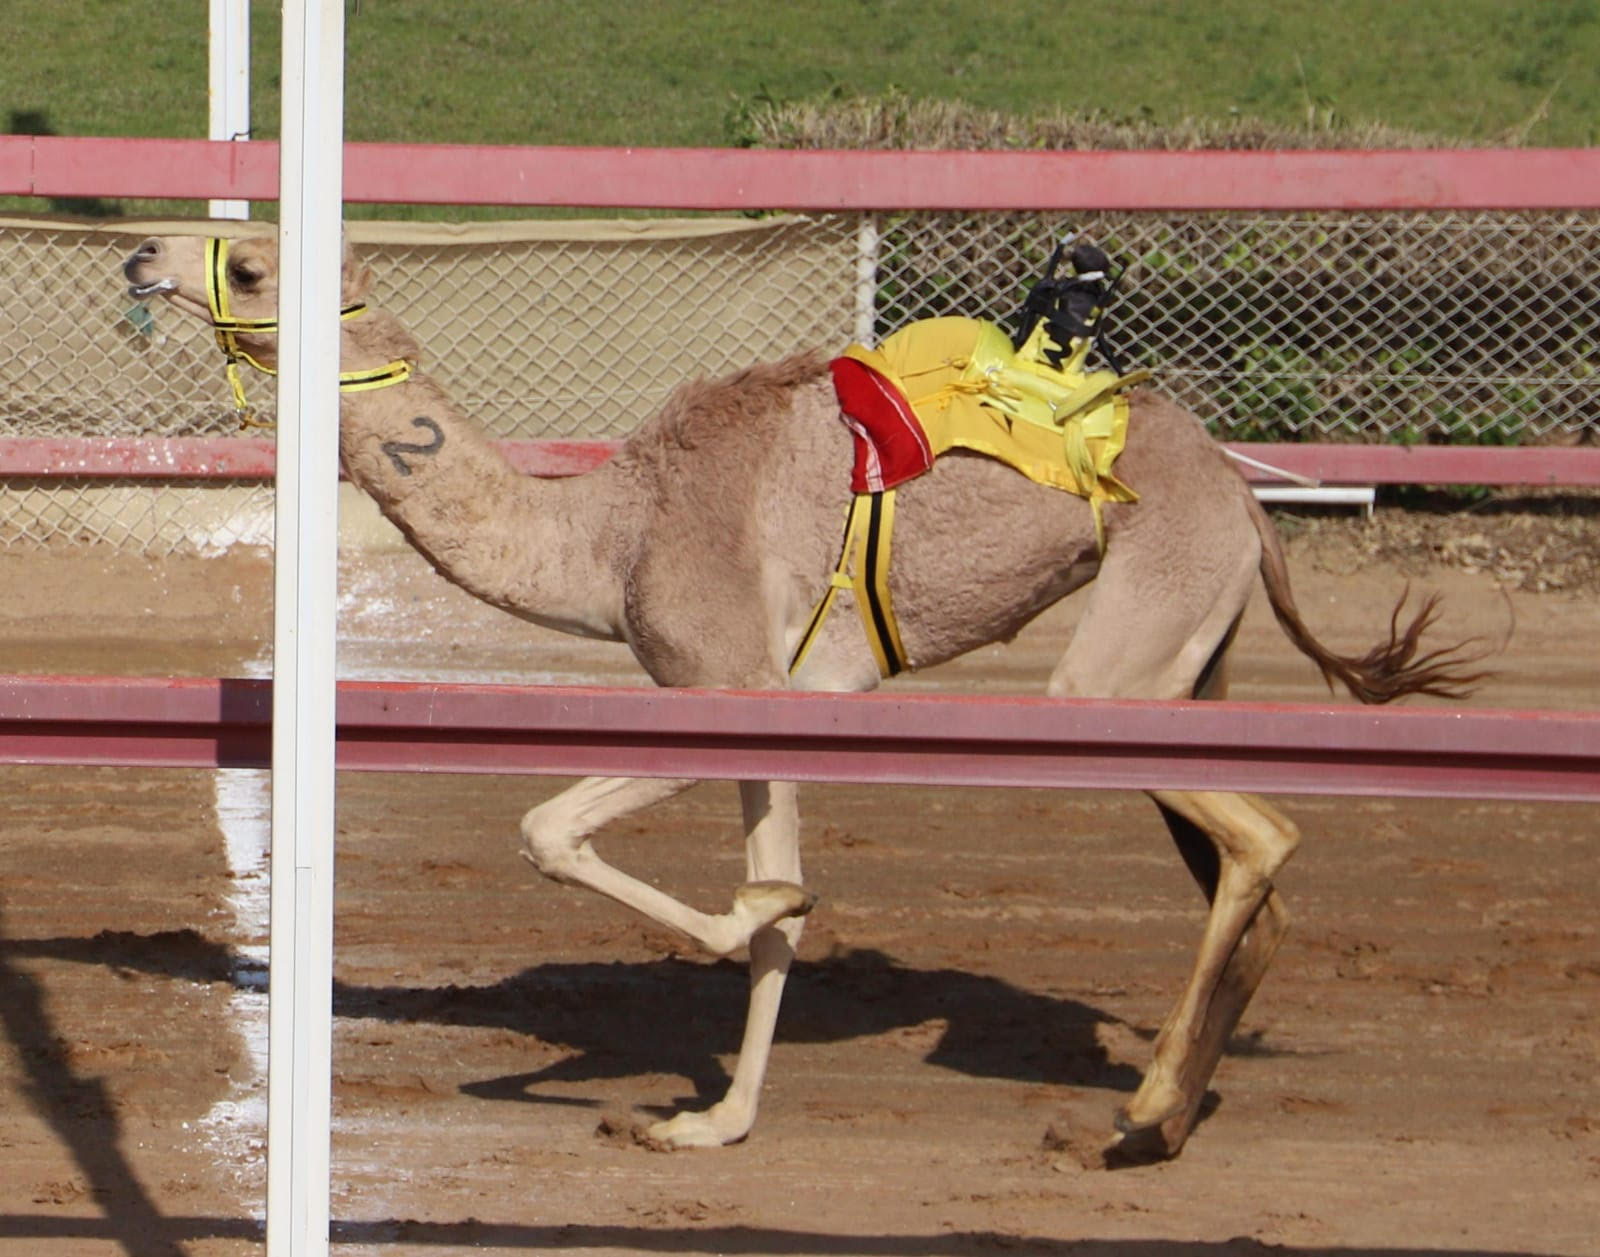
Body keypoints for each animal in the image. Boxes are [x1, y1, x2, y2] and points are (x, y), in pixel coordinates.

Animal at [118, 231, 1478, 1157]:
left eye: (249, 267)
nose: (142, 255)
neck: (609, 535)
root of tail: (1248, 498)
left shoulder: (717, 676)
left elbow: (556, 830)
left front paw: (743, 940)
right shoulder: (767, 702)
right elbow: (770, 904)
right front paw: (711, 1120)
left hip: (1123, 658)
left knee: (1265, 835)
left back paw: (1140, 1114)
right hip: (1193, 656)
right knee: (1254, 867)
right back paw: (1178, 1111)